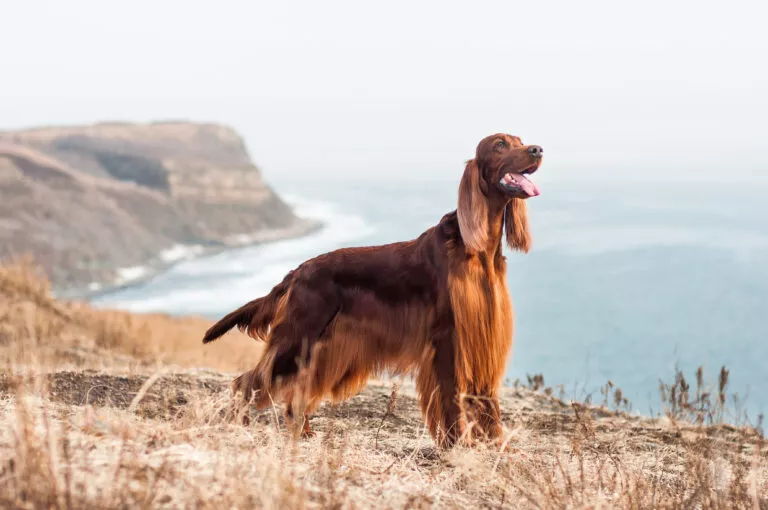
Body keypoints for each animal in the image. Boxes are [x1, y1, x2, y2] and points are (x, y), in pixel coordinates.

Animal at [201, 134, 544, 446]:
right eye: (500, 144)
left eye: (520, 140)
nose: (537, 149)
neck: (476, 248)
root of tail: (299, 271)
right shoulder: (448, 337)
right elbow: (451, 398)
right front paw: (456, 445)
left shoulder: (484, 332)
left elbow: (486, 399)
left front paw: (494, 446)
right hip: (297, 338)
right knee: (247, 381)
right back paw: (239, 425)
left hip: (320, 348)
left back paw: (304, 430)